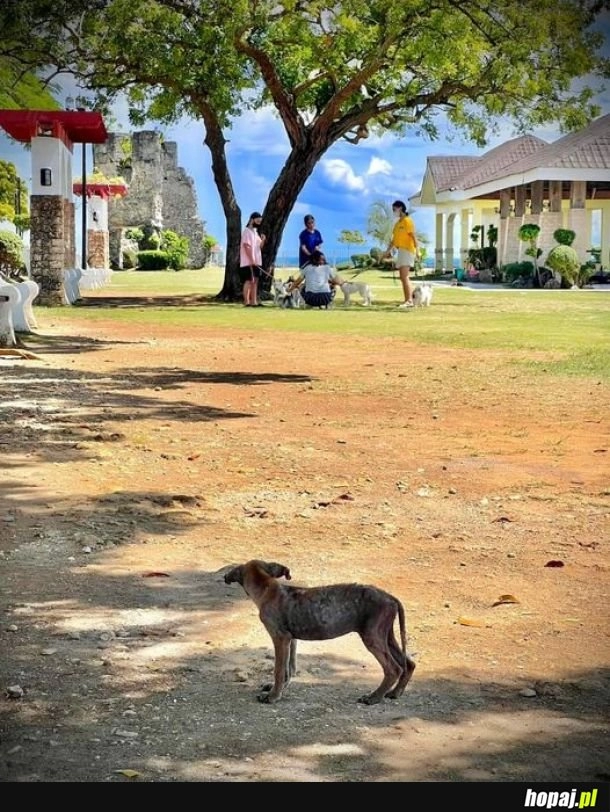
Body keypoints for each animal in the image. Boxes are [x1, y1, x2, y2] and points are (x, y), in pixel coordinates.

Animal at [221, 560, 416, 704]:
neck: (267, 587)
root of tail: (389, 597)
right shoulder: (291, 639)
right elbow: (289, 668)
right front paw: (280, 688)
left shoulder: (280, 638)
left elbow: (278, 669)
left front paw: (273, 696)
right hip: (385, 635)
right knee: (408, 663)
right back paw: (395, 692)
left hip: (372, 636)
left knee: (393, 668)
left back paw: (374, 697)